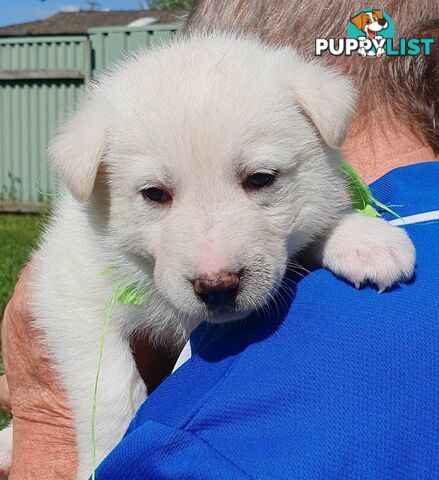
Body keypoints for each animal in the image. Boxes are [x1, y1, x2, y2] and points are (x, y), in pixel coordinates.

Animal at [0, 31, 414, 478]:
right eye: (154, 194)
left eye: (260, 179)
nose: (217, 286)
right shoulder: (69, 295)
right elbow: (109, 385)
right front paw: (102, 456)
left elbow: (319, 220)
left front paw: (364, 237)